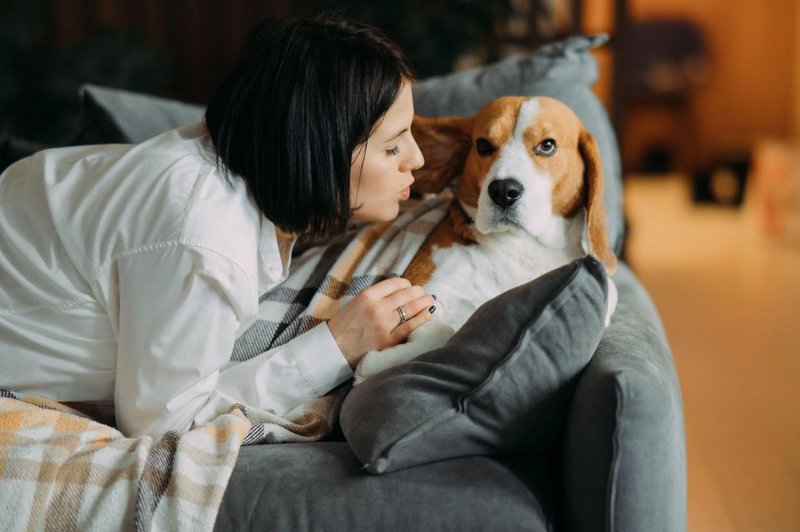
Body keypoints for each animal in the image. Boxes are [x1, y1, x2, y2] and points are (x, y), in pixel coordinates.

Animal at [356, 95, 620, 384]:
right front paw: (375, 366)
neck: (521, 248)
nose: (503, 190)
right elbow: (444, 331)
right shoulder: (422, 288)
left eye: (547, 145)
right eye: (483, 145)